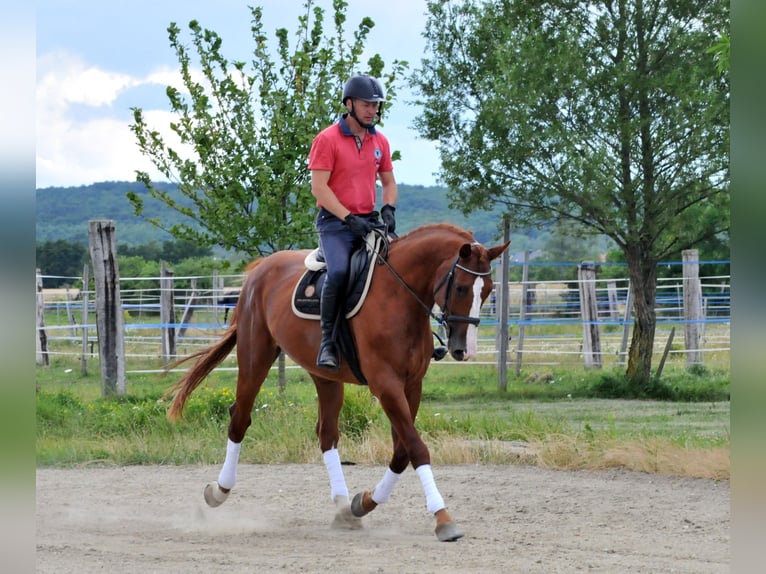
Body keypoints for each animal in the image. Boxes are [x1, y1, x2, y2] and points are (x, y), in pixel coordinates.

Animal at [165, 225, 510, 544]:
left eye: (487, 291)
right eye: (462, 288)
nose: (465, 351)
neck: (398, 298)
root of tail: (260, 269)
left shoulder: (412, 385)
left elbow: (402, 452)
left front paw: (363, 503)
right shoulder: (386, 385)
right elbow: (416, 448)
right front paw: (443, 518)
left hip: (325, 377)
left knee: (327, 434)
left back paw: (344, 508)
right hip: (255, 357)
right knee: (240, 419)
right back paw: (218, 491)